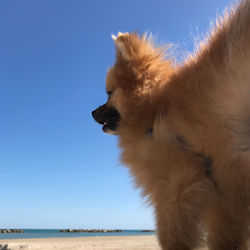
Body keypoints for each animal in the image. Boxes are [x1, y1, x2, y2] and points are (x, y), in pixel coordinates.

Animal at [93, 0, 250, 249]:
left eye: (109, 93)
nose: (91, 113)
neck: (156, 110)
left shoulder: (176, 188)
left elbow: (174, 237)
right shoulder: (224, 200)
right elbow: (227, 238)